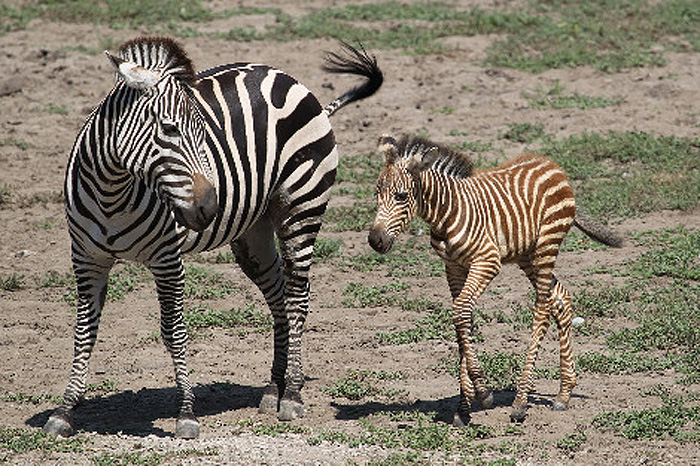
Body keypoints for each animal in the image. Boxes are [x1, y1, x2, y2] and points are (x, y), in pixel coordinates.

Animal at [43, 37, 382, 440]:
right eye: (170, 130)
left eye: (205, 134)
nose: (210, 206)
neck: (112, 191)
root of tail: (285, 75)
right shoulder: (86, 260)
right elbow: (83, 332)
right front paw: (65, 411)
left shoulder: (167, 260)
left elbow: (174, 332)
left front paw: (186, 413)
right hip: (253, 236)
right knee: (279, 299)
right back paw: (274, 388)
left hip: (302, 209)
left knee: (298, 299)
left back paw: (293, 395)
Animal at [370, 134, 620, 426]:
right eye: (376, 194)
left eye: (401, 196)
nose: (375, 241)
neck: (447, 212)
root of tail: (553, 165)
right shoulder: (453, 268)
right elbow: (462, 318)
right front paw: (463, 407)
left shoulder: (487, 262)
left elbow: (461, 312)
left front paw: (483, 393)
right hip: (527, 254)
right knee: (561, 298)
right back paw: (564, 393)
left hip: (546, 245)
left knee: (542, 309)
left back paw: (521, 403)